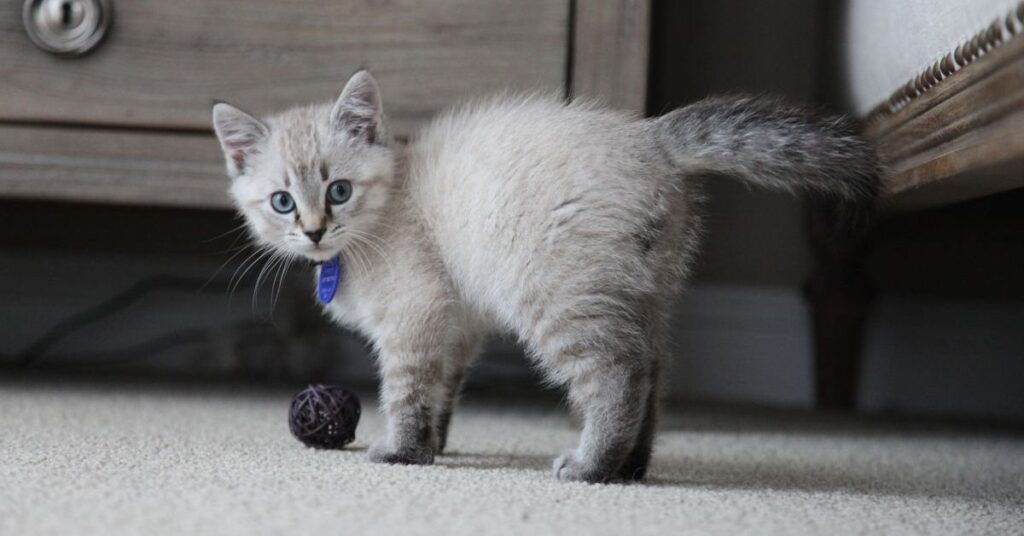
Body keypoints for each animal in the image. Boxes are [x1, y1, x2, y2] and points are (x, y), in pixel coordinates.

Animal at [209, 69, 880, 483]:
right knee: (653, 371)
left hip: (561, 295)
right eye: (282, 202)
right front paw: (435, 445)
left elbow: (405, 389)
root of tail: (652, 137)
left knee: (618, 375)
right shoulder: (457, 324)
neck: (388, 208)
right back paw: (630, 466)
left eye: (339, 191)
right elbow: (441, 391)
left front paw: (401, 450)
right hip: (643, 291)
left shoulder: (415, 316)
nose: (315, 231)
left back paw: (592, 465)